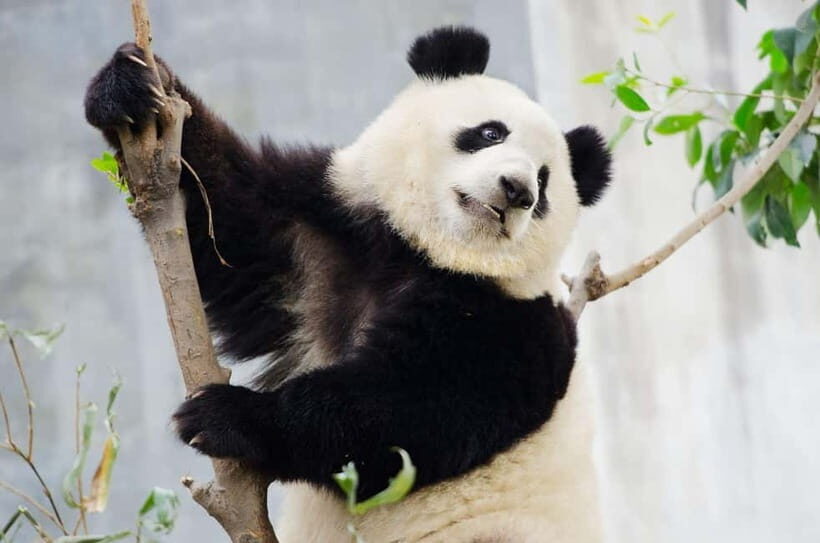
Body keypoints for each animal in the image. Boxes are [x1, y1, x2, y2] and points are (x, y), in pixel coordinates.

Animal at [85, 26, 611, 543]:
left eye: (545, 182)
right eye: (489, 133)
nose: (519, 191)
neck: (427, 254)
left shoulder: (510, 325)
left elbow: (405, 419)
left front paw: (228, 416)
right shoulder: (323, 241)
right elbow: (229, 222)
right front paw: (133, 85)